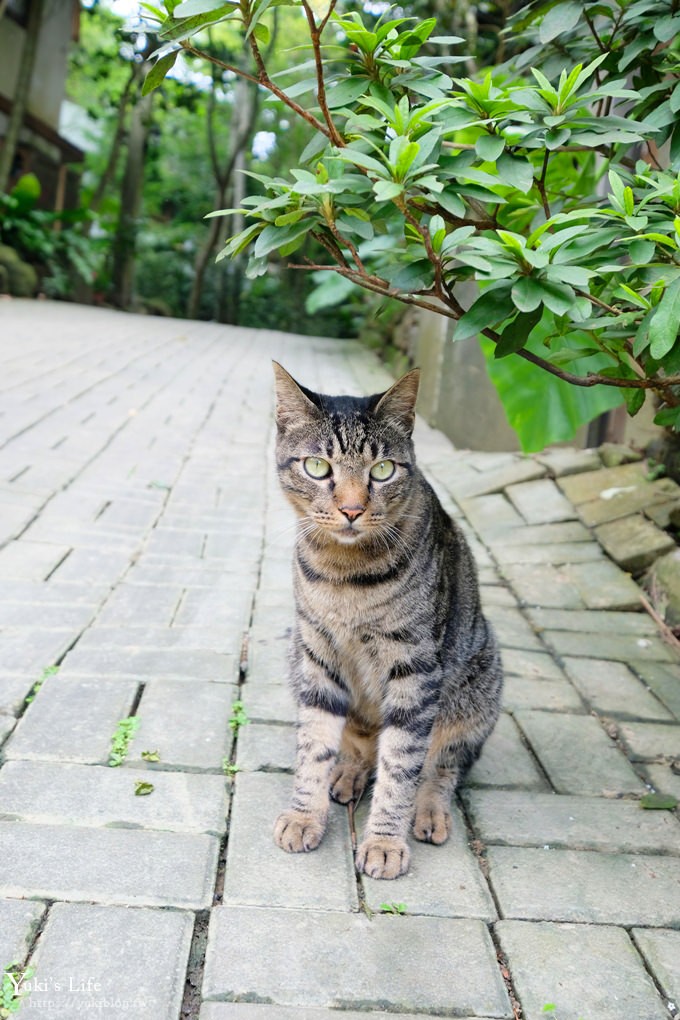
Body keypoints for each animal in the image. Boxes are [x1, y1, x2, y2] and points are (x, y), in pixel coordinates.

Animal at [273, 363, 503, 881]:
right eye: (317, 467)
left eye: (382, 470)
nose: (352, 509)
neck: (345, 575)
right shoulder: (316, 653)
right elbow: (315, 743)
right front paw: (304, 813)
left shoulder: (415, 669)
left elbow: (401, 764)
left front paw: (383, 841)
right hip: (296, 654)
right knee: (361, 741)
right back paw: (347, 772)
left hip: (477, 686)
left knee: (442, 765)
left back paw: (429, 811)